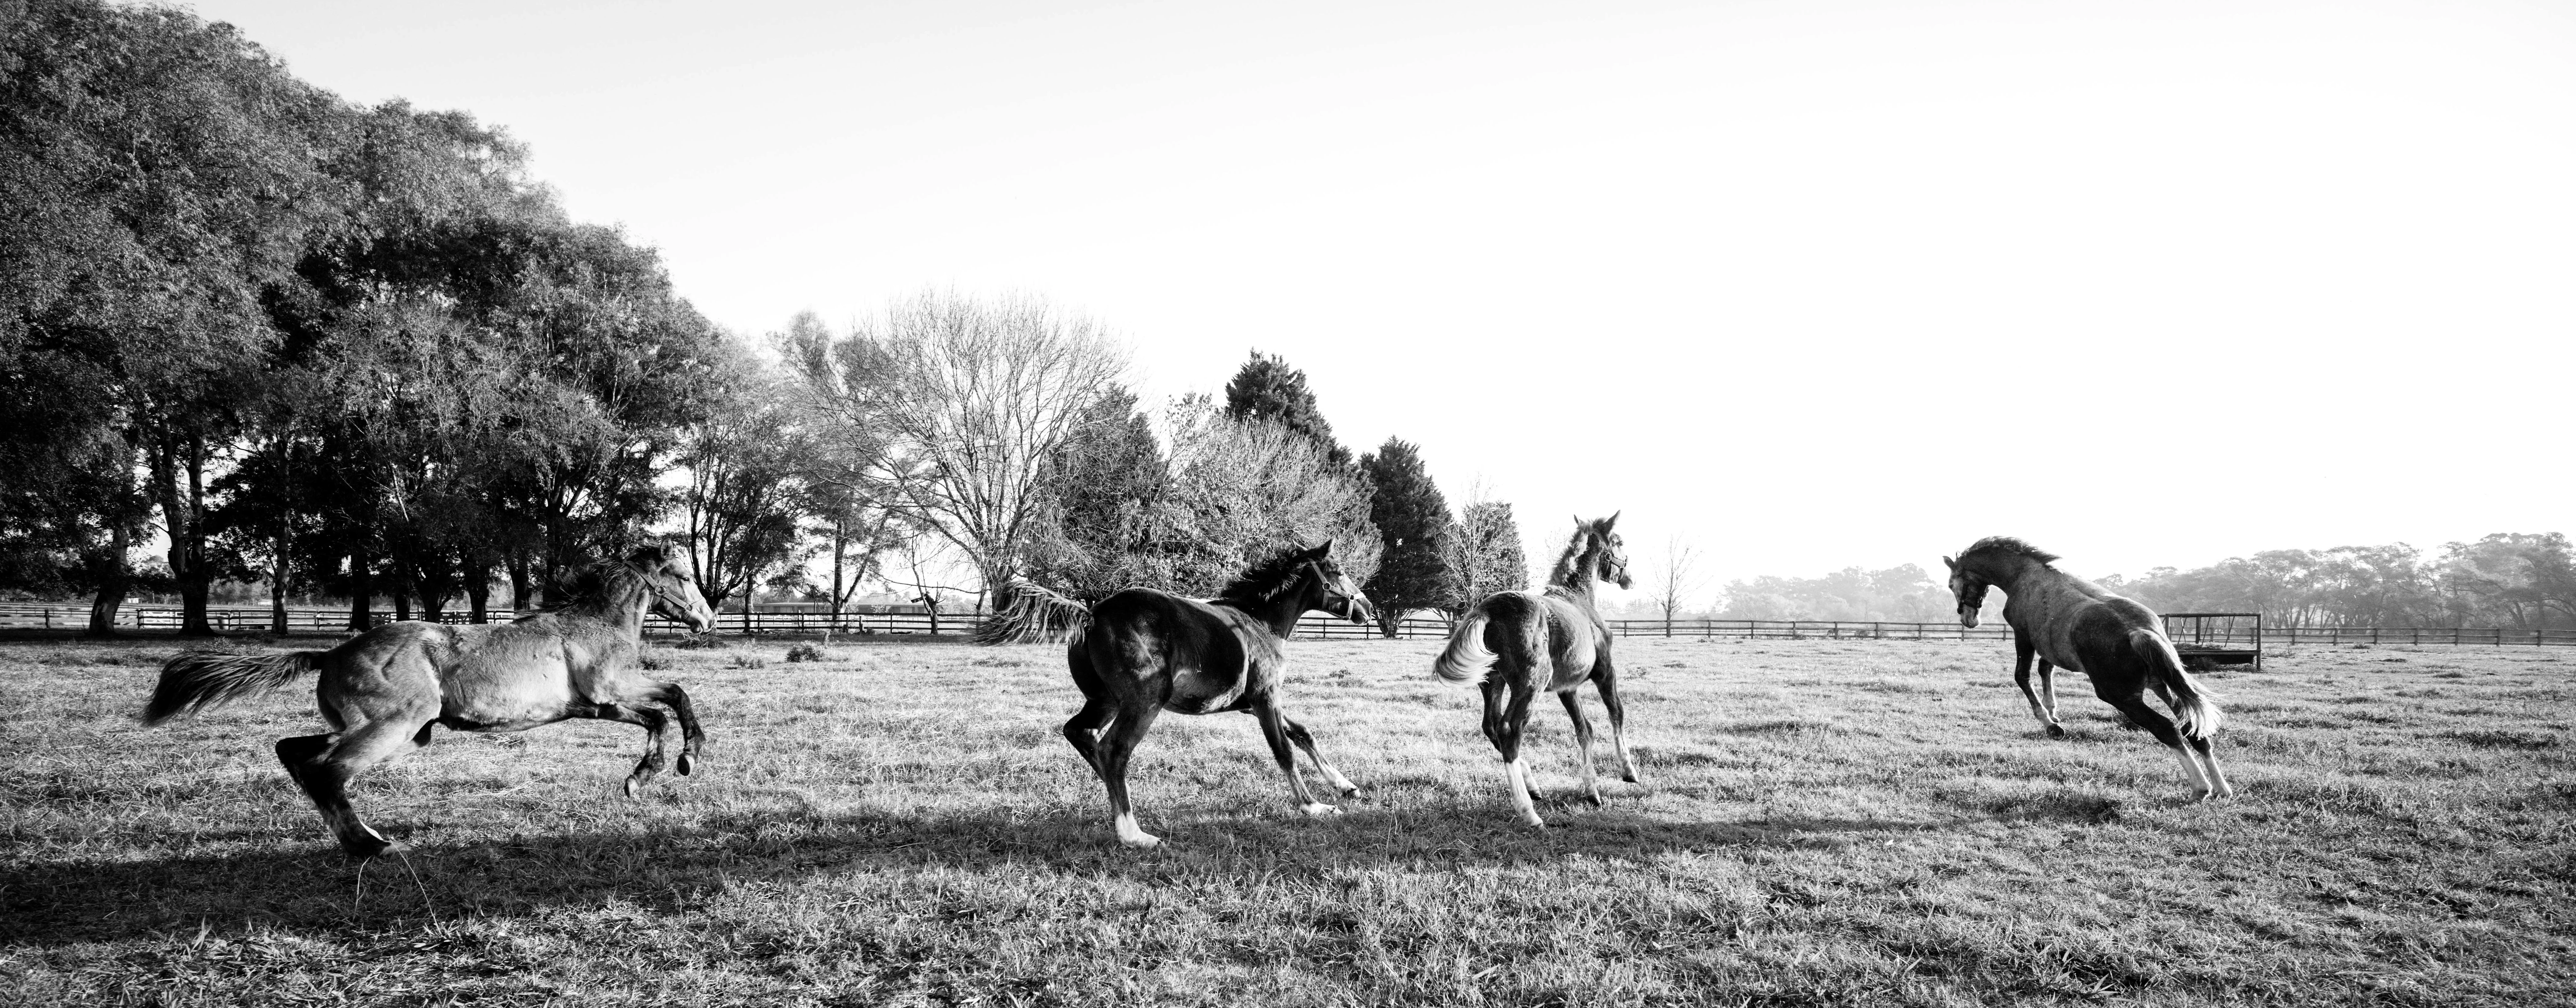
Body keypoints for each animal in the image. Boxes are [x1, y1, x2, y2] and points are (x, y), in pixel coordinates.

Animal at [142, 545, 719, 856]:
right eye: (686, 576)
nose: (708, 619)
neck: (595, 623)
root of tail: (331, 651)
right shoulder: (608, 693)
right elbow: (671, 701)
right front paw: (675, 763)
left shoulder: (600, 705)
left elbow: (664, 708)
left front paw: (651, 772)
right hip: (394, 728)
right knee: (328, 771)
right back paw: (371, 846)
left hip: (388, 730)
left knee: (296, 751)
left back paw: (361, 836)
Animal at [1060, 541, 1377, 849]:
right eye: (1339, 572)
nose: (1368, 607)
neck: (1259, 622)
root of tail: (1092, 616)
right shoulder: (1265, 697)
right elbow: (1284, 751)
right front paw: (1313, 806)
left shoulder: (1252, 704)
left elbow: (1303, 733)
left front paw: (1345, 786)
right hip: (1145, 701)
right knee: (1114, 750)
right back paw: (1133, 834)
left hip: (1106, 702)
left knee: (1080, 733)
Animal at [1431, 513, 1637, 828]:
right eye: (1619, 543)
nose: (1629, 580)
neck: (1580, 599)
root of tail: (1490, 610)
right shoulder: (1605, 671)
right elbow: (1617, 714)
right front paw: (1628, 771)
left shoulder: (1567, 688)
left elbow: (1584, 730)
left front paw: (1592, 791)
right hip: (1531, 684)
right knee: (1509, 729)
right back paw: (1528, 812)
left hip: (1494, 681)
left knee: (1491, 726)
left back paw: (1533, 787)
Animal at [1943, 536, 2234, 800]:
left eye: (1951, 584)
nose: (1968, 619)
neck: (2025, 576)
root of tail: (2138, 632)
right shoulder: (2050, 647)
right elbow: (2045, 671)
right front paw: (2054, 713)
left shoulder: (2023, 637)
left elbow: (2022, 677)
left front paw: (2049, 723)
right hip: (2162, 686)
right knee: (2192, 728)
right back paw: (2221, 788)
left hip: (2121, 697)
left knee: (2167, 729)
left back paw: (2200, 789)